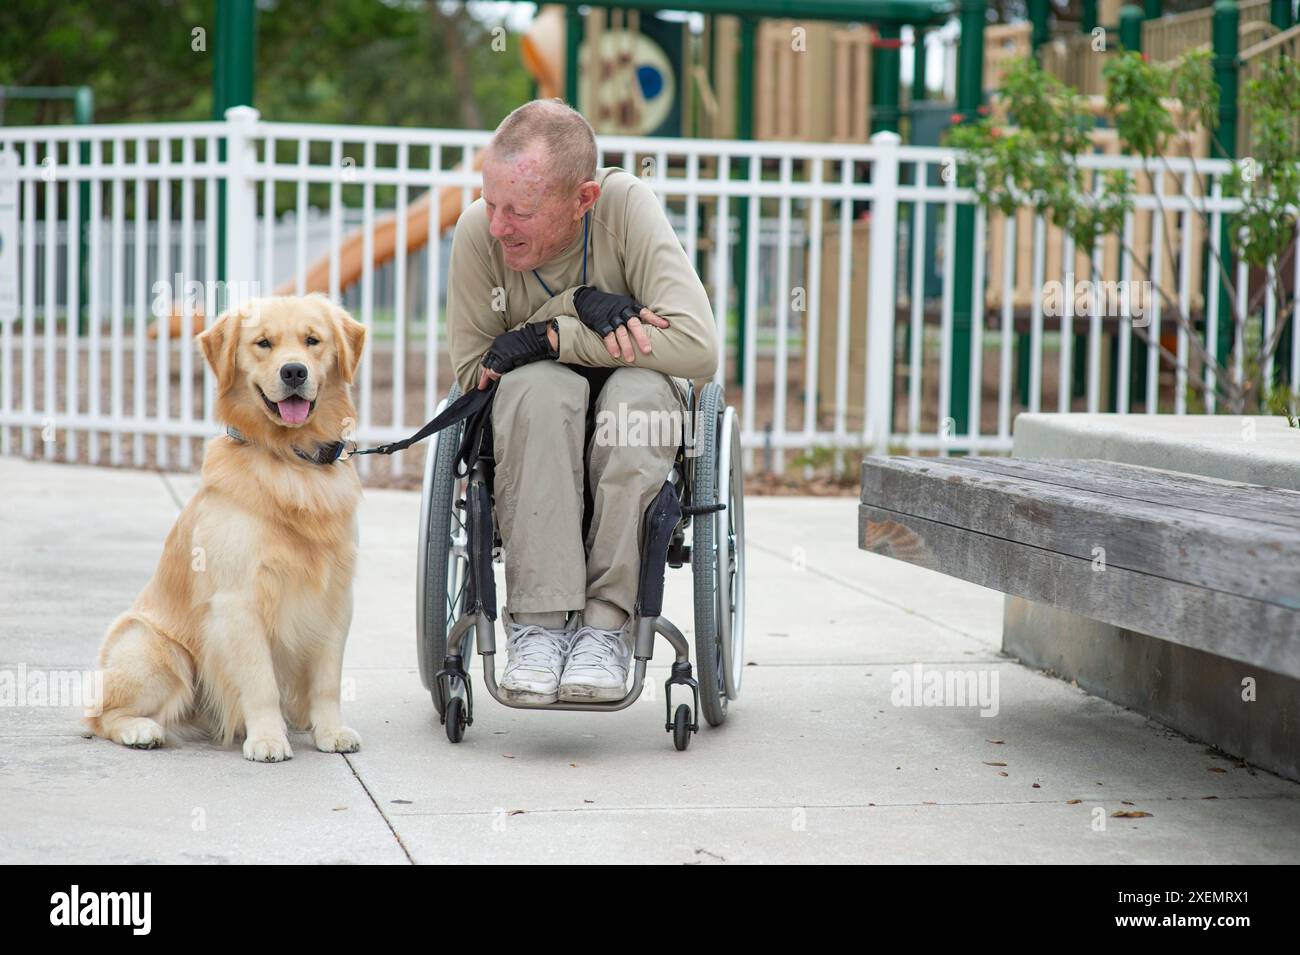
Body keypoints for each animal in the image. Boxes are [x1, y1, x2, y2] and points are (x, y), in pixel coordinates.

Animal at [82, 294, 366, 764]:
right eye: (263, 343)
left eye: (313, 341)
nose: (294, 371)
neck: (291, 459)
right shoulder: (239, 600)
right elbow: (260, 681)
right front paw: (267, 738)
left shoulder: (335, 598)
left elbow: (327, 681)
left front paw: (331, 731)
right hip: (154, 648)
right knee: (99, 715)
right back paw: (141, 730)